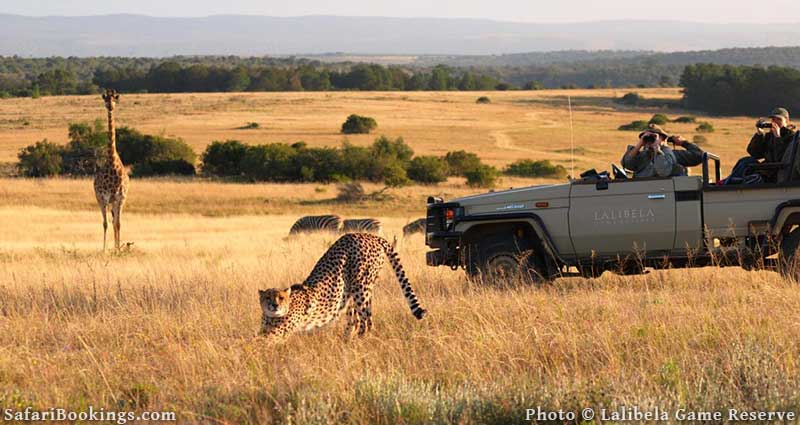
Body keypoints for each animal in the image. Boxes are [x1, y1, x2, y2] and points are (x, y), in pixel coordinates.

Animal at [260, 232, 424, 342]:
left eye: (280, 298)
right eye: (267, 297)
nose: (274, 305)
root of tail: (369, 235)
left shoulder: (276, 335)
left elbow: (258, 343)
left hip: (361, 287)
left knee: (366, 320)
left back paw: (360, 341)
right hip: (353, 292)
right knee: (356, 320)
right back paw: (347, 341)